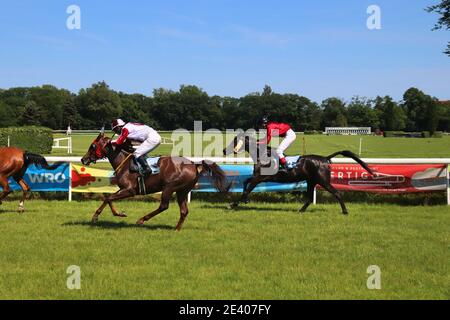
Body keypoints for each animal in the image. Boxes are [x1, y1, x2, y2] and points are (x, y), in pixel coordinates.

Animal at [81, 132, 230, 230]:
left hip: (169, 187)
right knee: (184, 211)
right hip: (182, 191)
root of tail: (194, 164)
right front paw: (110, 214)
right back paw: (176, 229)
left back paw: (142, 220)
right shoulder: (122, 189)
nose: (83, 159)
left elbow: (109, 198)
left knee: (164, 206)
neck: (124, 163)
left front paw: (104, 215)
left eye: (93, 146)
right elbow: (108, 197)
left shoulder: (130, 190)